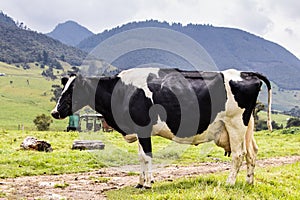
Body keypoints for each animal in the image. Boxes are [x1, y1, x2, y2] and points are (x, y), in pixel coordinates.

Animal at [51, 68, 272, 188]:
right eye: (64, 88)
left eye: (72, 91)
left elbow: (147, 156)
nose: (55, 112)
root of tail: (244, 73)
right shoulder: (139, 130)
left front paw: (148, 183)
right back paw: (249, 182)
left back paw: (230, 182)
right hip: (247, 125)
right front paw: (140, 182)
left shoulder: (143, 128)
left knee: (238, 155)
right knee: (252, 153)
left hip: (235, 124)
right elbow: (141, 156)